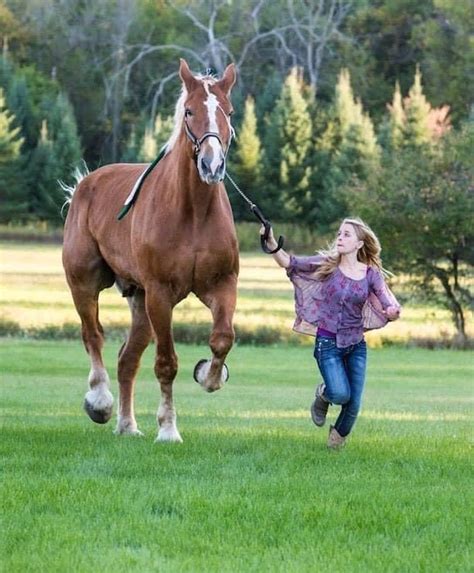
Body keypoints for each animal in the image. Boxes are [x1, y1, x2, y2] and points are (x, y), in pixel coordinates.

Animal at [63, 59, 239, 442]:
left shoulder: (221, 286)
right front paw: (168, 429)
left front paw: (209, 375)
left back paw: (127, 425)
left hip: (140, 300)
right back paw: (100, 402)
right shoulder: (161, 294)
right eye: (189, 111)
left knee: (127, 359)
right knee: (93, 335)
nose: (212, 165)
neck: (193, 212)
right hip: (85, 282)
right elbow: (166, 364)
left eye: (229, 112)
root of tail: (85, 183)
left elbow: (222, 339)